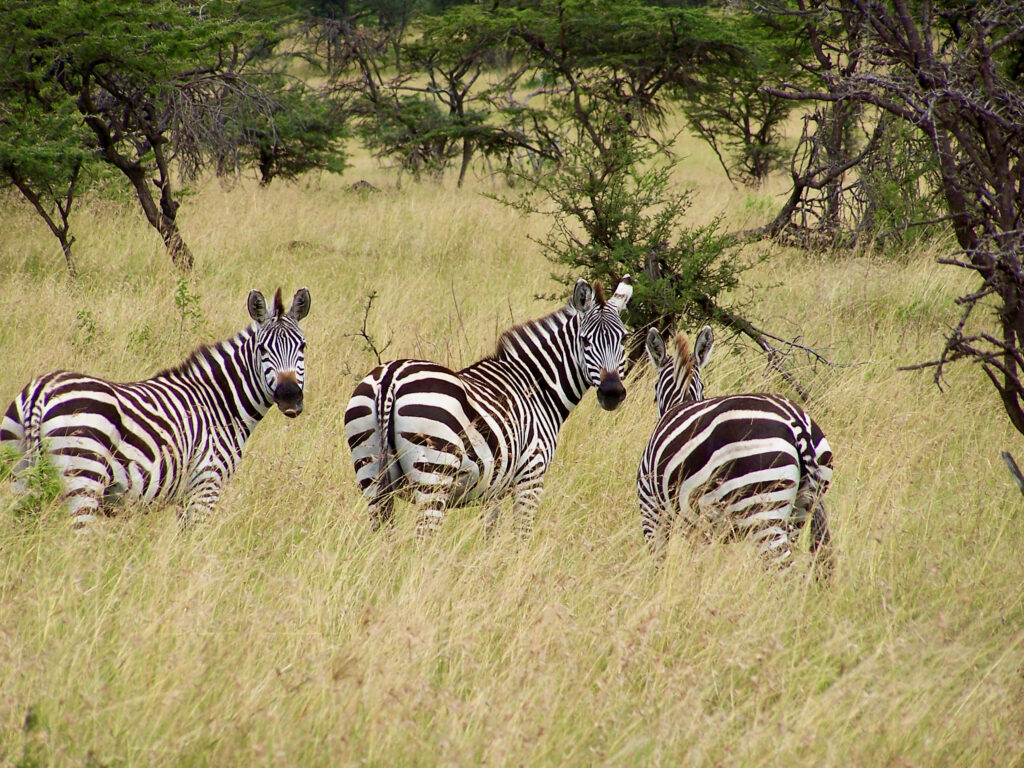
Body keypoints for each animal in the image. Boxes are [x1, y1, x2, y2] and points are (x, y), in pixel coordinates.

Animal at [2, 286, 309, 528]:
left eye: (303, 347)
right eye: (262, 349)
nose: (290, 397)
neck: (220, 404)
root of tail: (40, 391)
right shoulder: (206, 484)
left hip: (18, 476)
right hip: (83, 477)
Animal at [344, 280, 630, 536]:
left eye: (624, 340)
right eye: (585, 341)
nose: (612, 393)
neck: (536, 386)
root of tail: (390, 378)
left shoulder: (494, 487)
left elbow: (490, 533)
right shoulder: (531, 476)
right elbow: (522, 537)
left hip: (370, 472)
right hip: (434, 472)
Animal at [634, 325, 835, 573]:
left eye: (654, 392)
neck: (681, 400)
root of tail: (796, 422)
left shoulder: (652, 511)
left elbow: (661, 563)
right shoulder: (701, 526)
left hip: (762, 511)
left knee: (782, 570)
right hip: (801, 511)